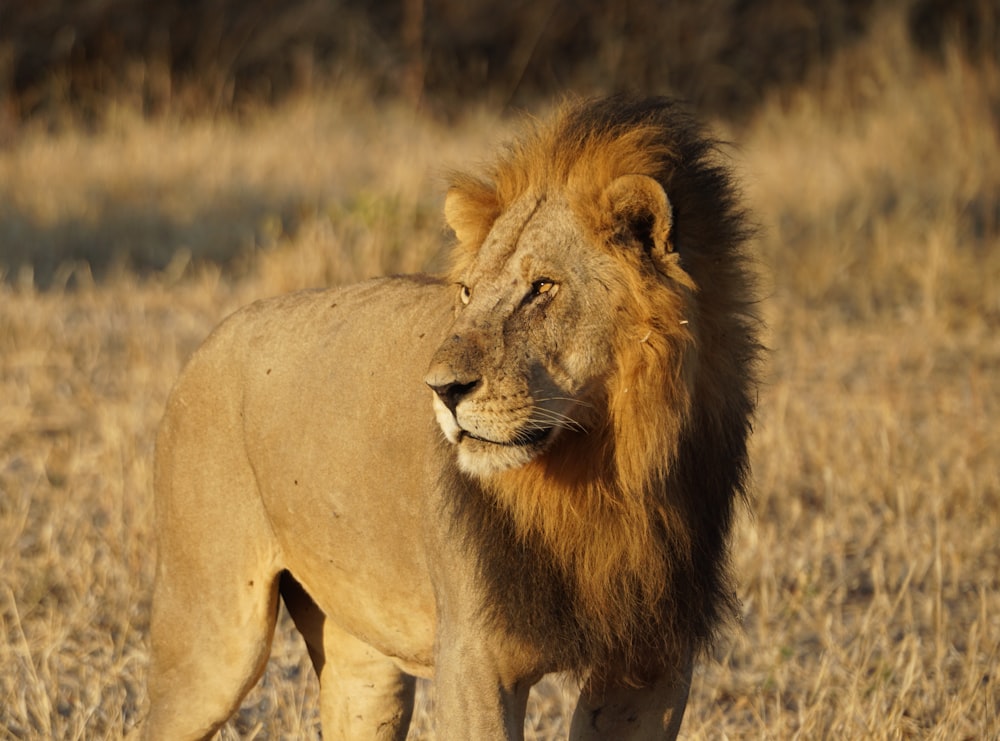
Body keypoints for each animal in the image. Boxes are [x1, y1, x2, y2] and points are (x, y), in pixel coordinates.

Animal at [143, 95, 756, 736]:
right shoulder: (475, 657)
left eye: (542, 288)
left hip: (364, 664)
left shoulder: (655, 663)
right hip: (212, 637)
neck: (607, 472)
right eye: (466, 292)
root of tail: (211, 338)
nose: (442, 390)